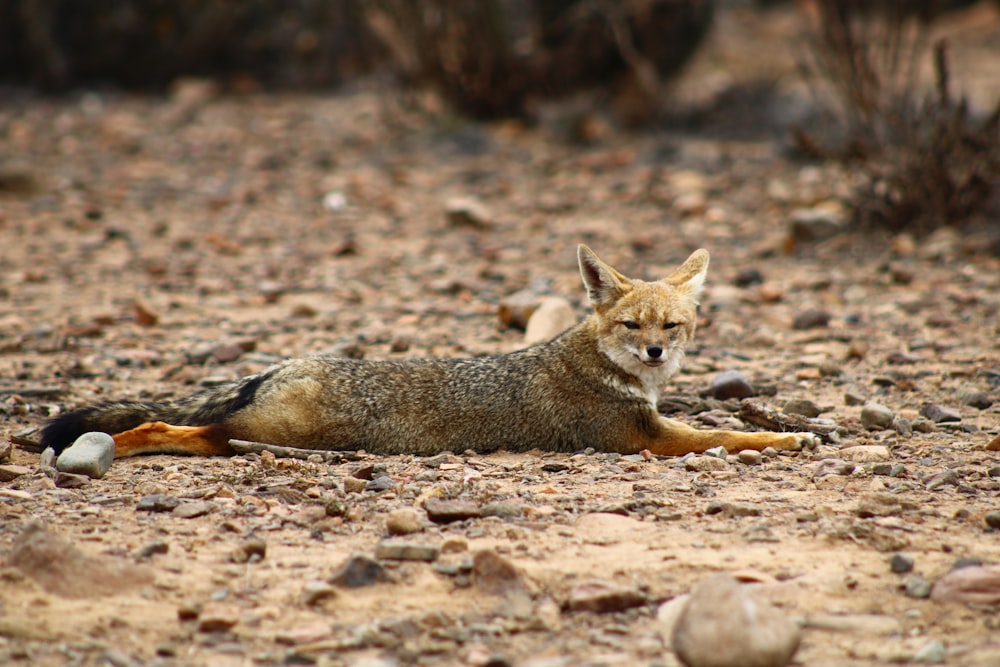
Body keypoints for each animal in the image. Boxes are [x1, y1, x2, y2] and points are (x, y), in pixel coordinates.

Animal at [41, 245, 820, 460]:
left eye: (673, 326)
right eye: (633, 326)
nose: (656, 354)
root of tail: (281, 364)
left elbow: (724, 425)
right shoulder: (641, 437)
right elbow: (731, 435)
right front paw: (789, 436)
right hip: (262, 429)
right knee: (165, 424)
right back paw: (116, 446)